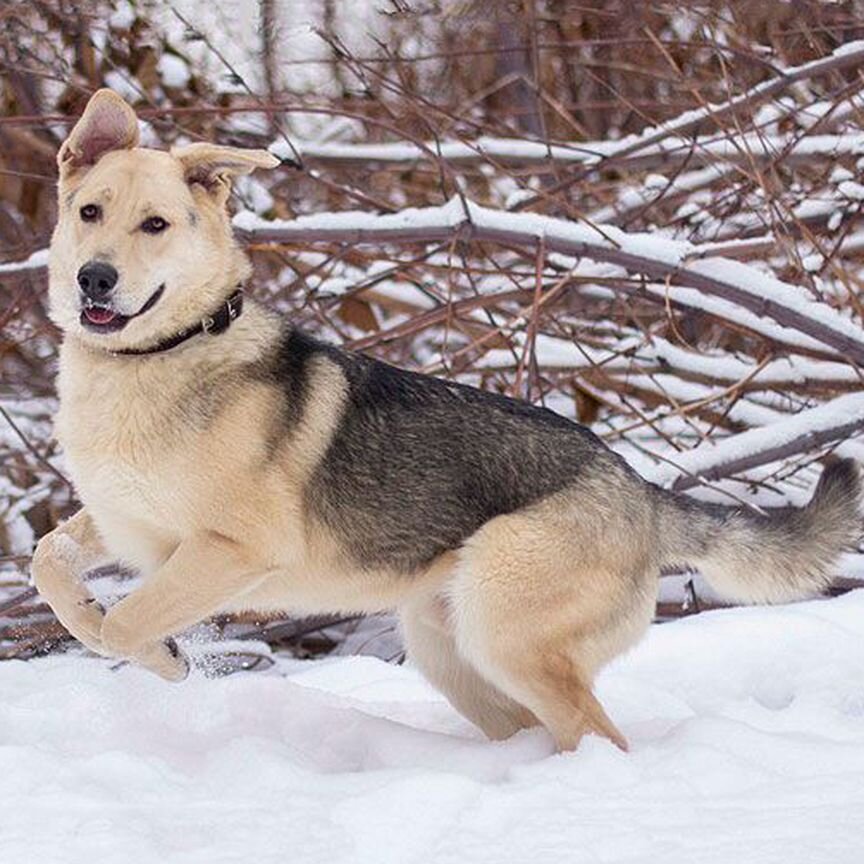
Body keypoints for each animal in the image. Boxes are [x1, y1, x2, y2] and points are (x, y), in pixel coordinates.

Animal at [30, 86, 860, 748]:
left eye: (156, 226)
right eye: (89, 211)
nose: (93, 278)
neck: (158, 358)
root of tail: (643, 494)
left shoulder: (232, 551)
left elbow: (121, 623)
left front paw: (165, 658)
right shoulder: (121, 524)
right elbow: (49, 563)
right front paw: (115, 625)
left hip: (503, 633)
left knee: (599, 735)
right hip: (453, 652)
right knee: (542, 731)